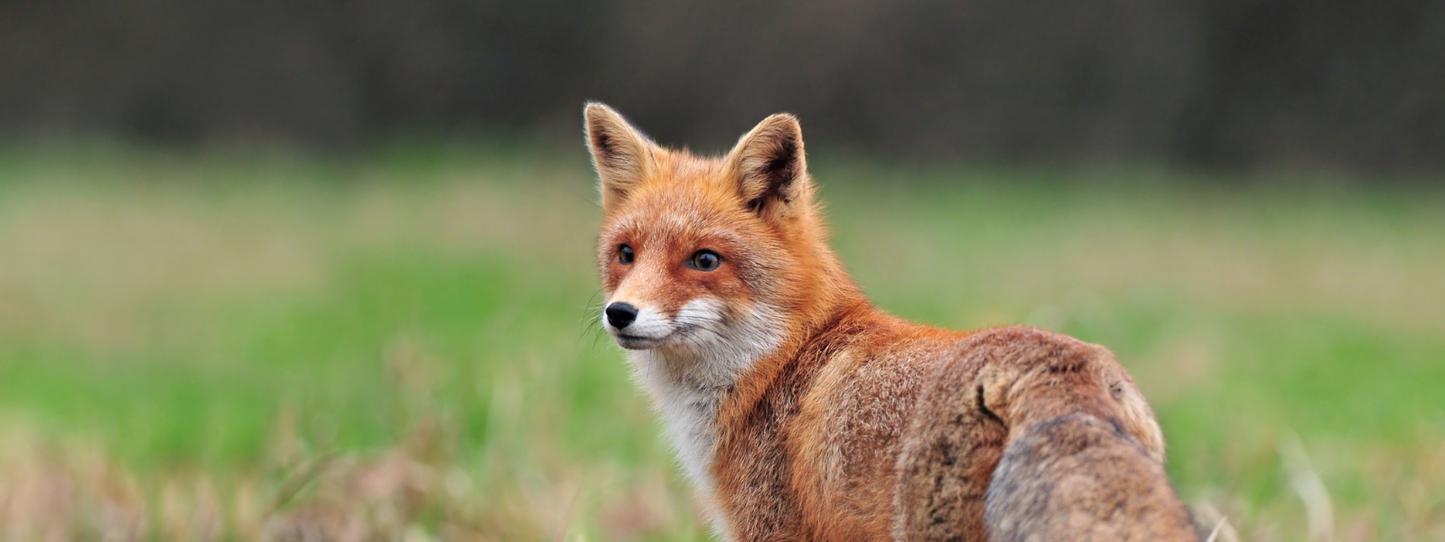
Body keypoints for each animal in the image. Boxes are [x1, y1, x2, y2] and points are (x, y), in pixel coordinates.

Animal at [587, 102, 1199, 542]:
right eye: (625, 254)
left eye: (705, 260)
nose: (621, 314)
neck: (782, 360)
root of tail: (1055, 364)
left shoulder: (775, 530)